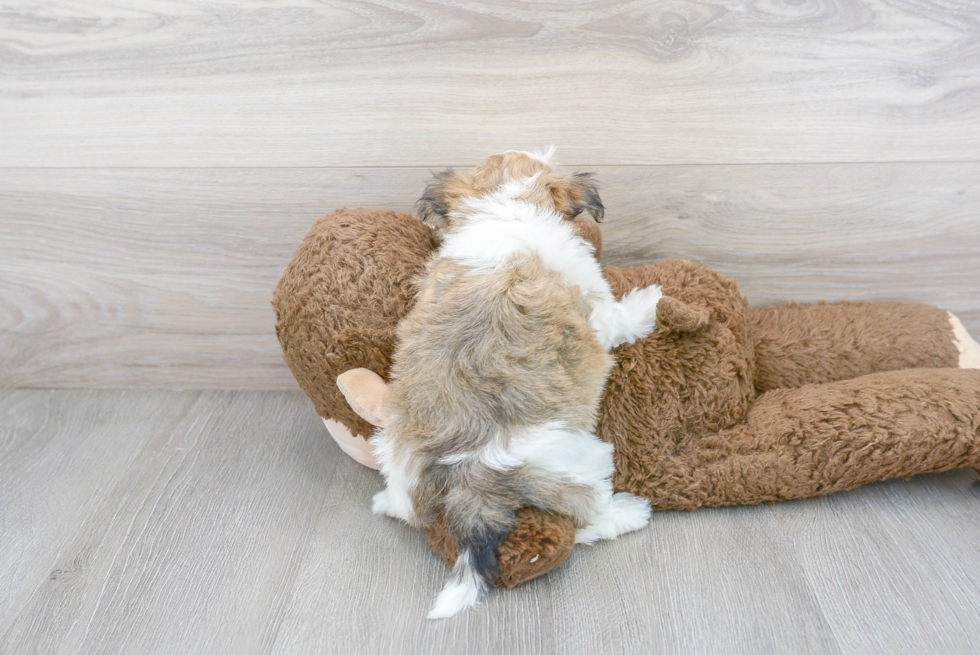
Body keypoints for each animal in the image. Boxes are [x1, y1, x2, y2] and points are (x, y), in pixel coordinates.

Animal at [372, 149, 664, 620]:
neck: (504, 207)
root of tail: (468, 480)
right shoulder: (593, 305)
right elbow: (618, 317)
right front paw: (649, 302)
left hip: (392, 443)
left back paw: (386, 502)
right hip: (579, 458)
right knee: (588, 516)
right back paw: (627, 512)